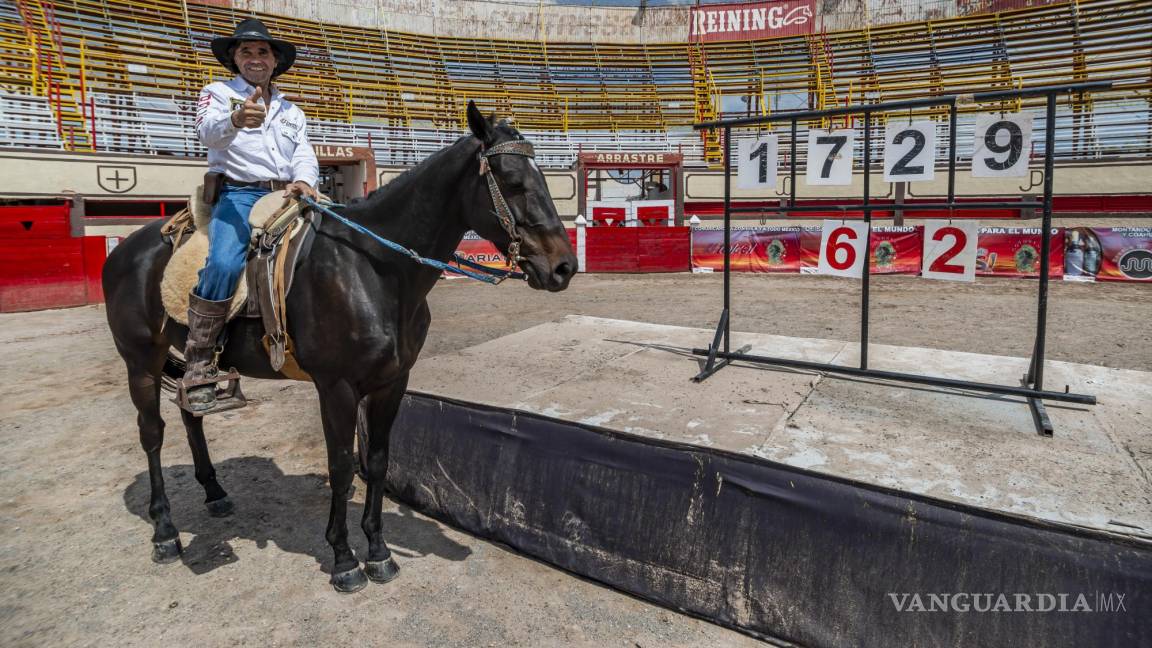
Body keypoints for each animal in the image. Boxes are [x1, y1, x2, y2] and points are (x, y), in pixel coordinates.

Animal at [101, 100, 576, 590]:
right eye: (514, 181)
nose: (564, 266)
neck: (373, 269)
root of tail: (127, 248)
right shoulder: (337, 387)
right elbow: (343, 465)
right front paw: (345, 559)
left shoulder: (392, 382)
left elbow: (379, 462)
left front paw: (379, 551)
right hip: (140, 361)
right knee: (152, 433)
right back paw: (164, 531)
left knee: (190, 413)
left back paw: (214, 492)